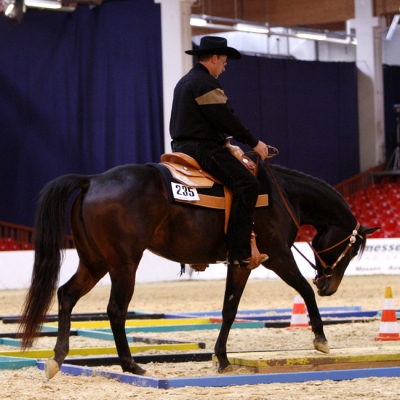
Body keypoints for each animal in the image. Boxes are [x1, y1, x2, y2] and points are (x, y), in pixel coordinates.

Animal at [18, 161, 378, 378]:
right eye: (350, 249)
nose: (329, 286)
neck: (282, 195)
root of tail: (91, 181)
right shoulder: (276, 256)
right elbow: (302, 290)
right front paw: (320, 339)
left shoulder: (241, 264)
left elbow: (229, 310)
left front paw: (222, 359)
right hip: (123, 264)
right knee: (116, 310)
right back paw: (131, 364)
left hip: (94, 262)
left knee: (66, 295)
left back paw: (58, 357)